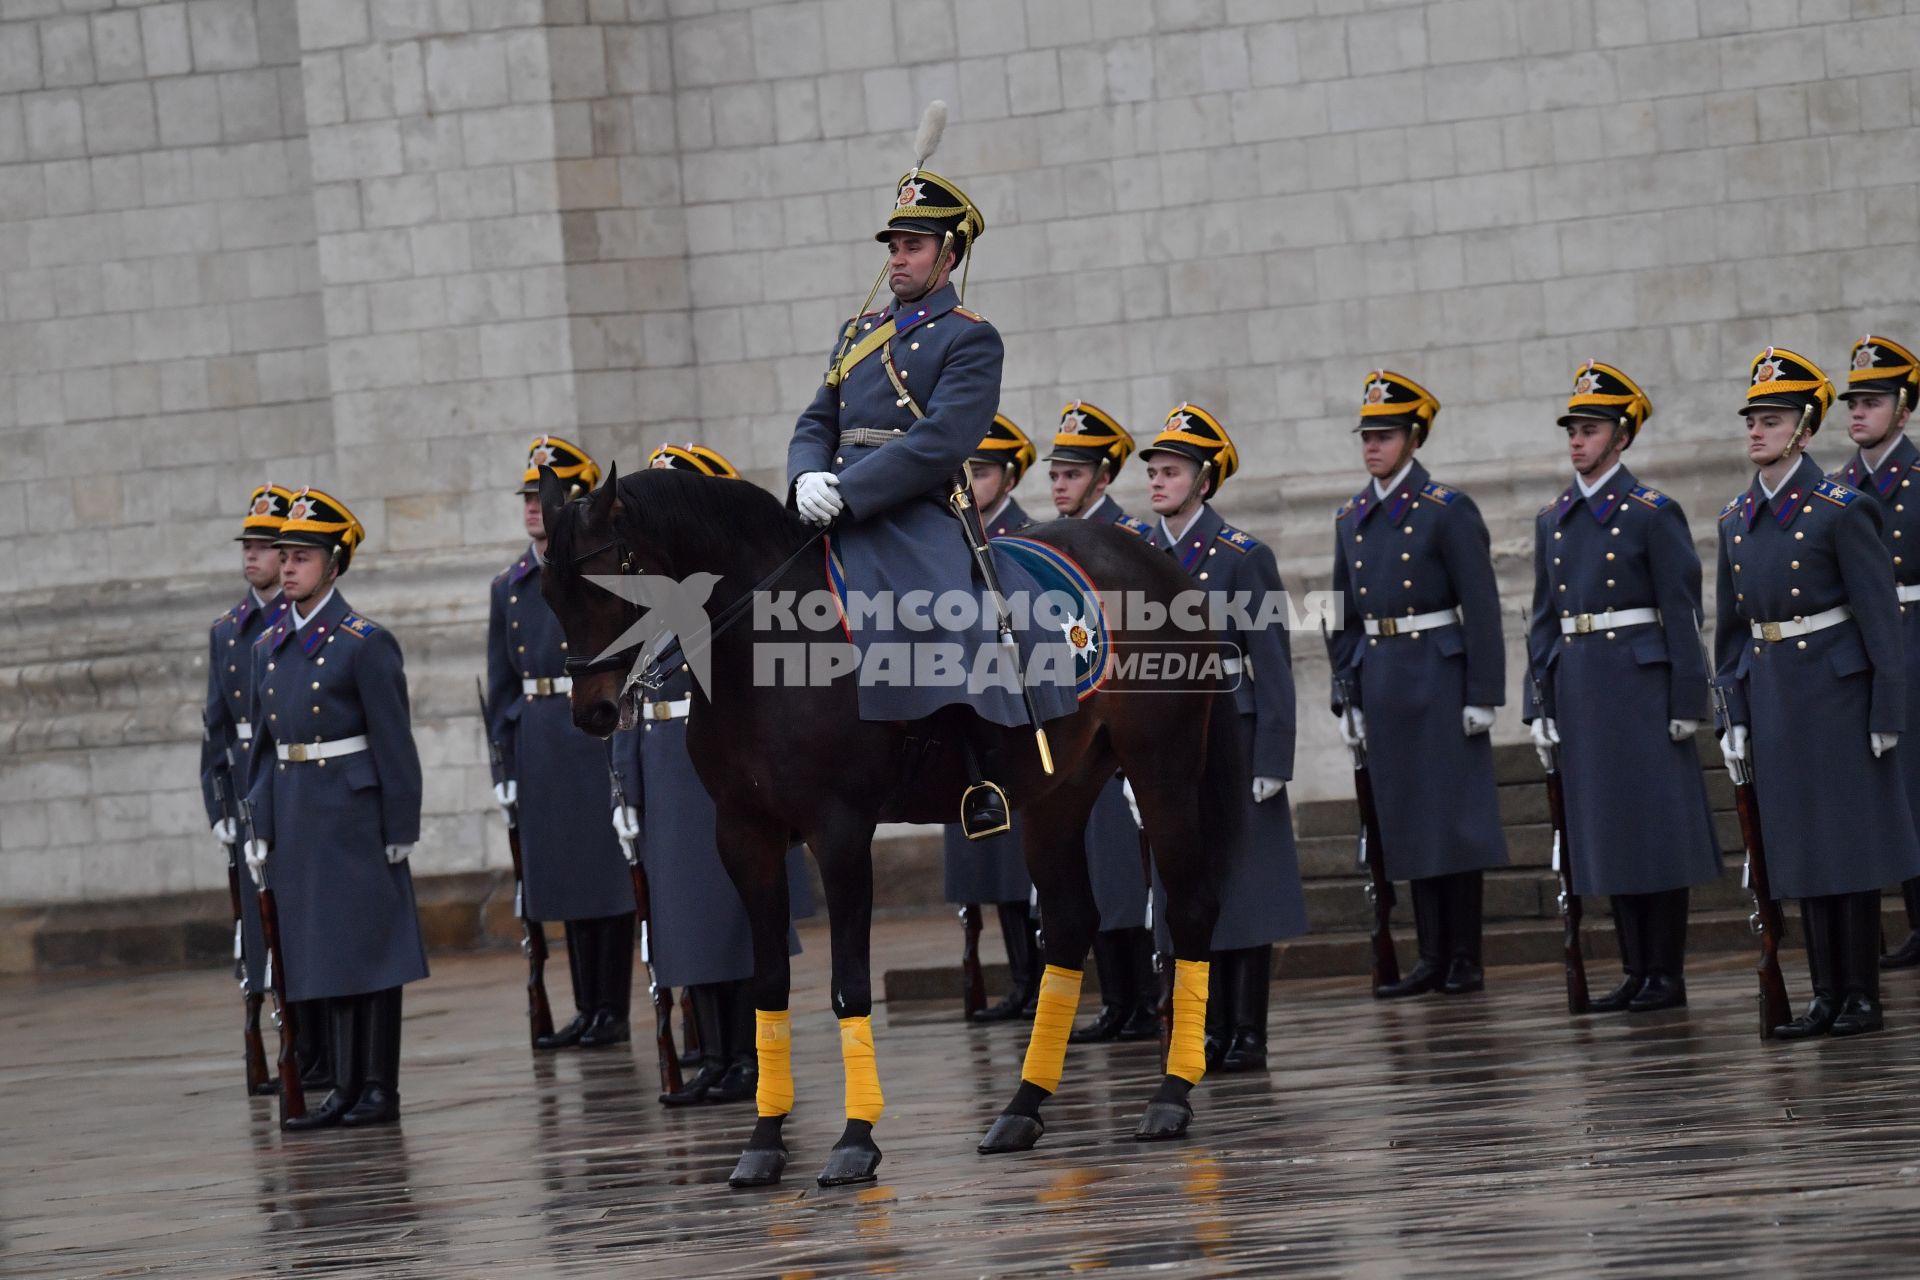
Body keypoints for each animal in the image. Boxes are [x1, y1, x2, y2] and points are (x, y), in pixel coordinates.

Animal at [537, 462, 1244, 1189]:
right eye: (551, 593)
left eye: (607, 582)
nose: (591, 712)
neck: (766, 651)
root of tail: (1156, 559)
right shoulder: (742, 835)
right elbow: (768, 981)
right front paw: (763, 1141)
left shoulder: (841, 831)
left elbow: (849, 983)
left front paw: (855, 1139)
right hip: (1058, 791)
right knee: (1072, 924)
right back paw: (1022, 1107)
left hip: (1162, 766)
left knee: (1188, 907)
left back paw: (1170, 1095)